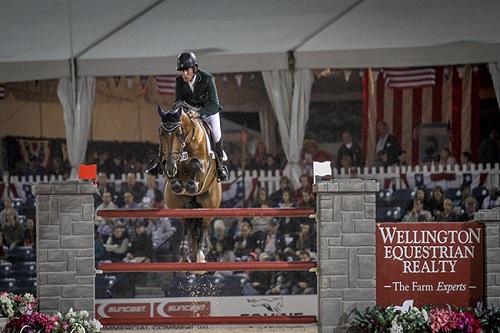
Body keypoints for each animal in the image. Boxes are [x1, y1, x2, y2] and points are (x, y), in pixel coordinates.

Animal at [157, 100, 222, 262]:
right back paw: (184, 253)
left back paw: (200, 255)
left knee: (202, 227)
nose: (171, 167)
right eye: (161, 134)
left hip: (208, 207)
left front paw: (190, 185)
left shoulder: (203, 166)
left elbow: (195, 166)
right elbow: (169, 172)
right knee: (187, 224)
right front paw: (177, 184)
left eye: (179, 133)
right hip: (180, 207)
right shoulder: (167, 162)